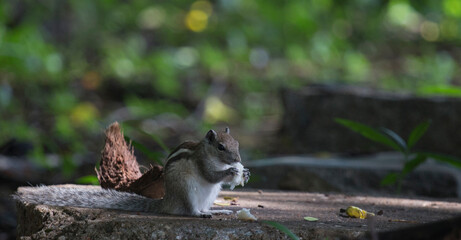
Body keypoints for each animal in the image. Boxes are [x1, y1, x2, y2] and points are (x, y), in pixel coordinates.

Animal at [12, 127, 250, 218]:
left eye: (237, 143)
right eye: (221, 147)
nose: (238, 160)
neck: (209, 154)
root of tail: (168, 201)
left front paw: (244, 172)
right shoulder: (201, 163)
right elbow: (210, 176)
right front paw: (232, 171)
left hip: (210, 195)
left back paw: (218, 210)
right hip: (187, 190)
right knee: (189, 210)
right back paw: (201, 214)